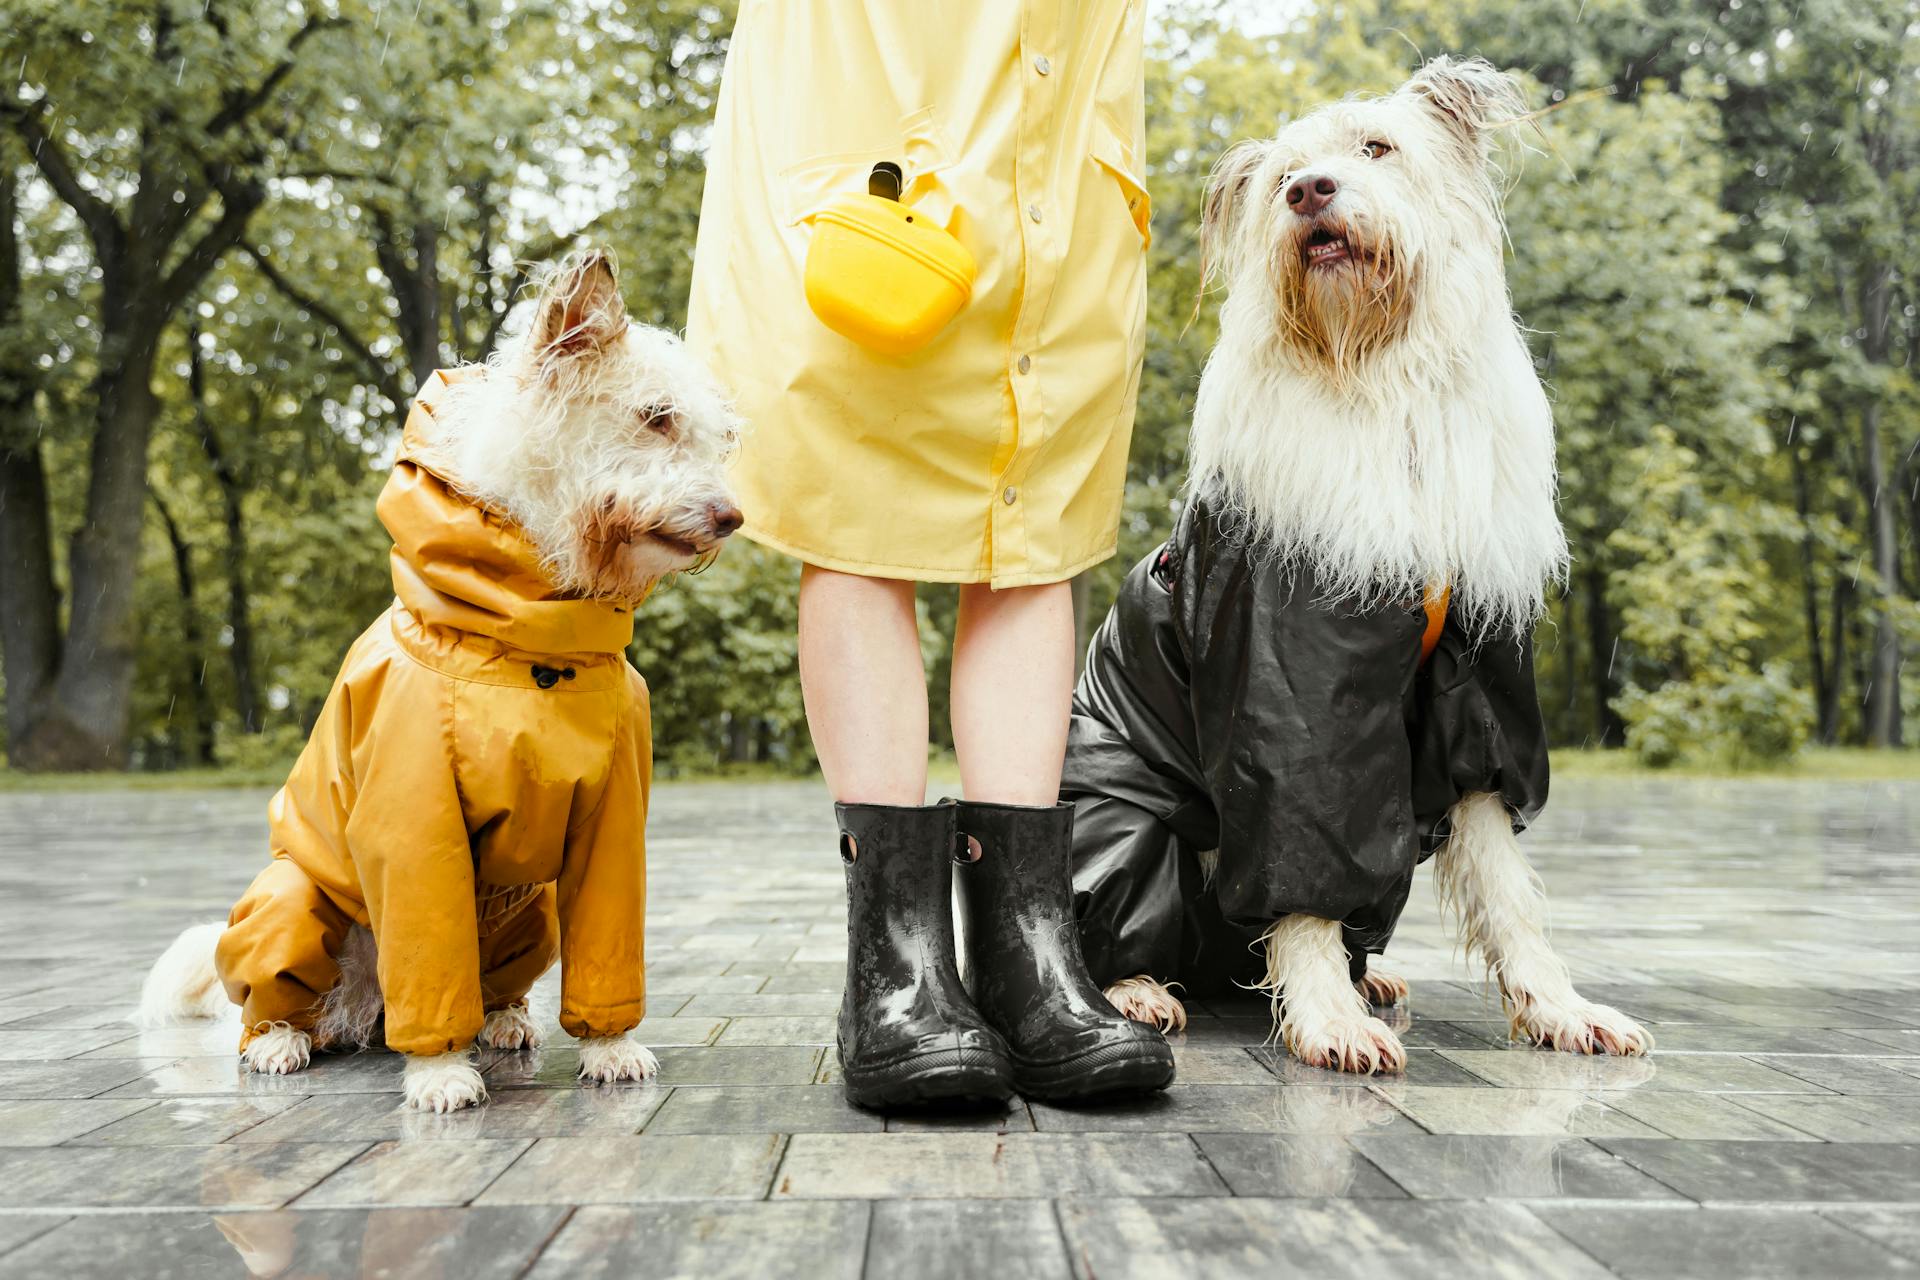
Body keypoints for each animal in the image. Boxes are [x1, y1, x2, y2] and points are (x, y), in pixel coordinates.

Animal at [137, 249, 741, 1113]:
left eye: (714, 435)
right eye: (655, 417)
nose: (732, 517)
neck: (529, 637)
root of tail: (365, 1010)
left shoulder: (614, 825)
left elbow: (608, 950)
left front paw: (610, 1047)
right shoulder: (415, 819)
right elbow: (430, 952)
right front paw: (440, 1073)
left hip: (530, 912)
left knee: (484, 986)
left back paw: (504, 1019)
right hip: (289, 899)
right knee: (283, 1000)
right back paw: (282, 1039)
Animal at [1067, 62, 1651, 1082]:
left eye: (1377, 148)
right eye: (1281, 179)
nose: (1309, 192)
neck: (1376, 377)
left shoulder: (1475, 687)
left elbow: (1507, 888)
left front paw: (1560, 1009)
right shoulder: (1289, 696)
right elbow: (1300, 864)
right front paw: (1327, 1022)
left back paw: (1364, 975)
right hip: (1118, 819)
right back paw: (1138, 990)